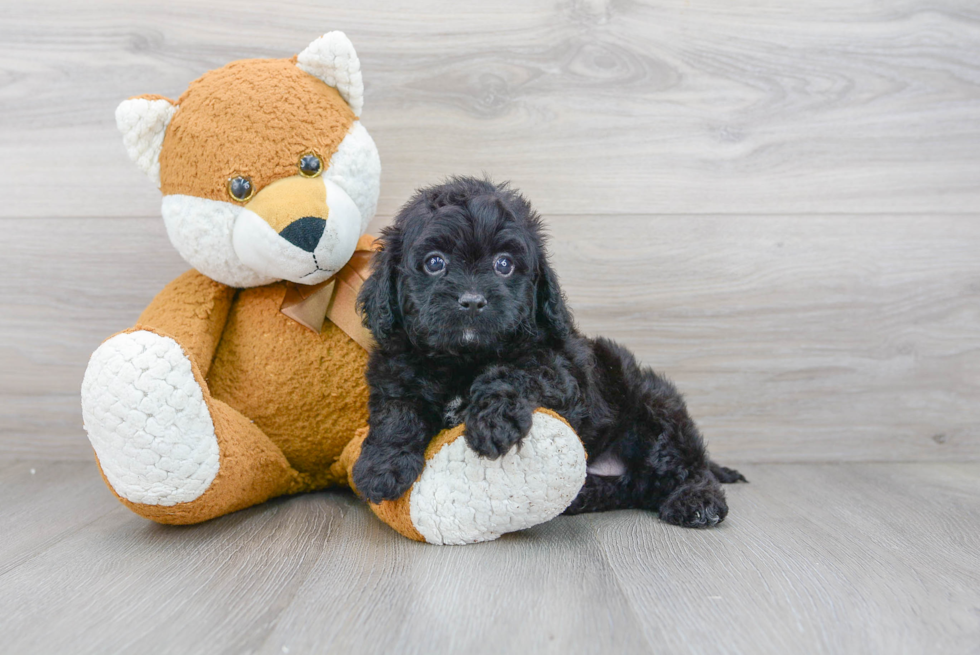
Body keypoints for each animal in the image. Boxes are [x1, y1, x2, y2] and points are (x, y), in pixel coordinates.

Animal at [352, 177, 744, 532]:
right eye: (435, 263)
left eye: (504, 264)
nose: (473, 301)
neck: (462, 359)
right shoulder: (394, 371)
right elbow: (397, 412)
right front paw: (381, 467)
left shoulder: (560, 369)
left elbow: (512, 373)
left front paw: (492, 422)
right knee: (637, 488)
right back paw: (584, 496)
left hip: (655, 404)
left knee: (684, 464)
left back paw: (698, 501)